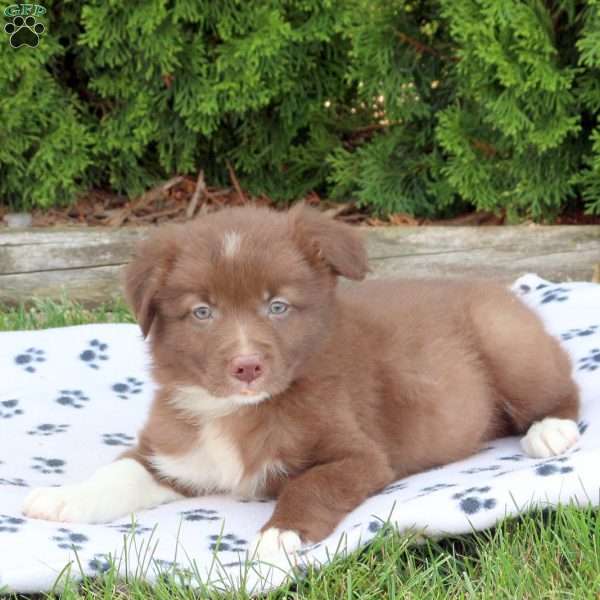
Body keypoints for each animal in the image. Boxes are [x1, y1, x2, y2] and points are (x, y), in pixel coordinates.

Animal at [21, 204, 580, 560]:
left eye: (278, 306)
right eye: (202, 312)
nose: (246, 366)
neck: (239, 411)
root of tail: (498, 289)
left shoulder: (360, 455)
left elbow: (310, 484)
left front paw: (279, 536)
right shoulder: (173, 451)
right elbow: (120, 473)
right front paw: (64, 498)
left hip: (506, 340)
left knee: (564, 387)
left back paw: (550, 431)